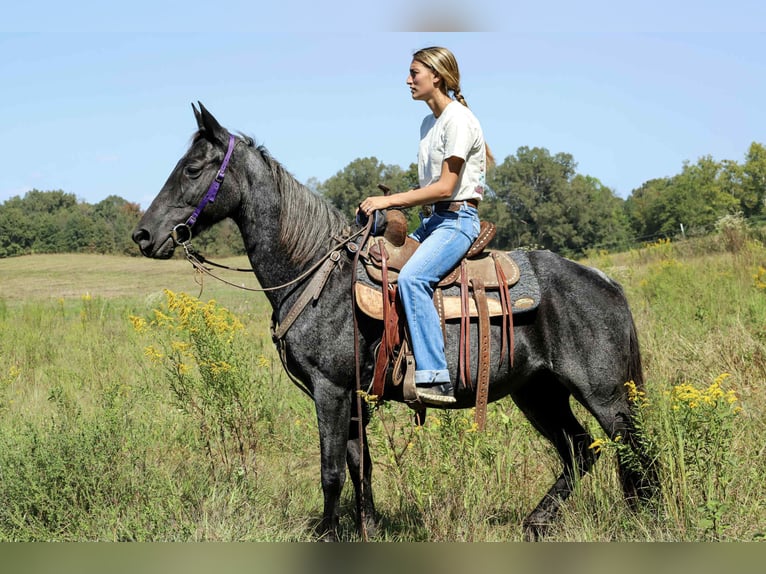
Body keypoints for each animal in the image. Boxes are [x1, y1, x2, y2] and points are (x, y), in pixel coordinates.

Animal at [132, 103, 658, 541]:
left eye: (192, 169)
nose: (143, 235)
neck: (317, 273)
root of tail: (605, 281)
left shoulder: (330, 389)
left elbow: (330, 470)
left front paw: (327, 534)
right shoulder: (352, 395)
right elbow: (358, 462)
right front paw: (368, 525)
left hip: (605, 395)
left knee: (632, 449)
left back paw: (642, 521)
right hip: (538, 390)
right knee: (580, 449)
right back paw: (537, 522)